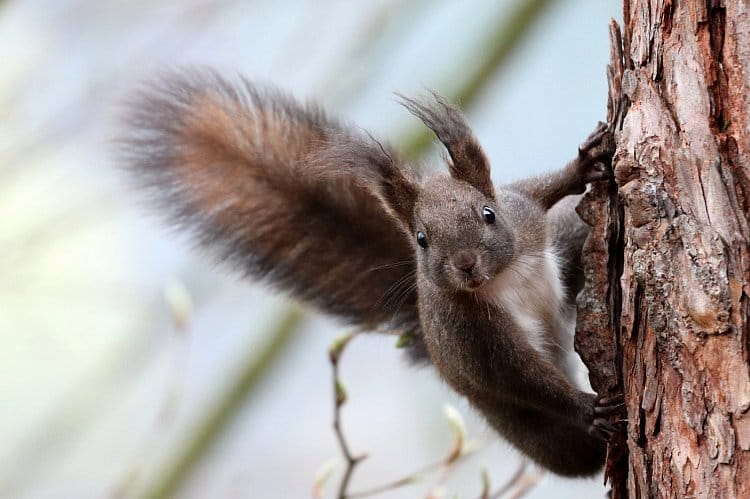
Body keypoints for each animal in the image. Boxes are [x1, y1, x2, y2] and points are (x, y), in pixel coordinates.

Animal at [119, 68, 624, 478]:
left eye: (488, 214)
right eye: (421, 239)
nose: (465, 264)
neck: (503, 278)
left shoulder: (525, 215)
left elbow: (541, 190)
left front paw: (583, 165)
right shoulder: (472, 334)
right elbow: (522, 378)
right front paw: (590, 408)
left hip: (564, 241)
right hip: (522, 426)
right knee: (566, 450)